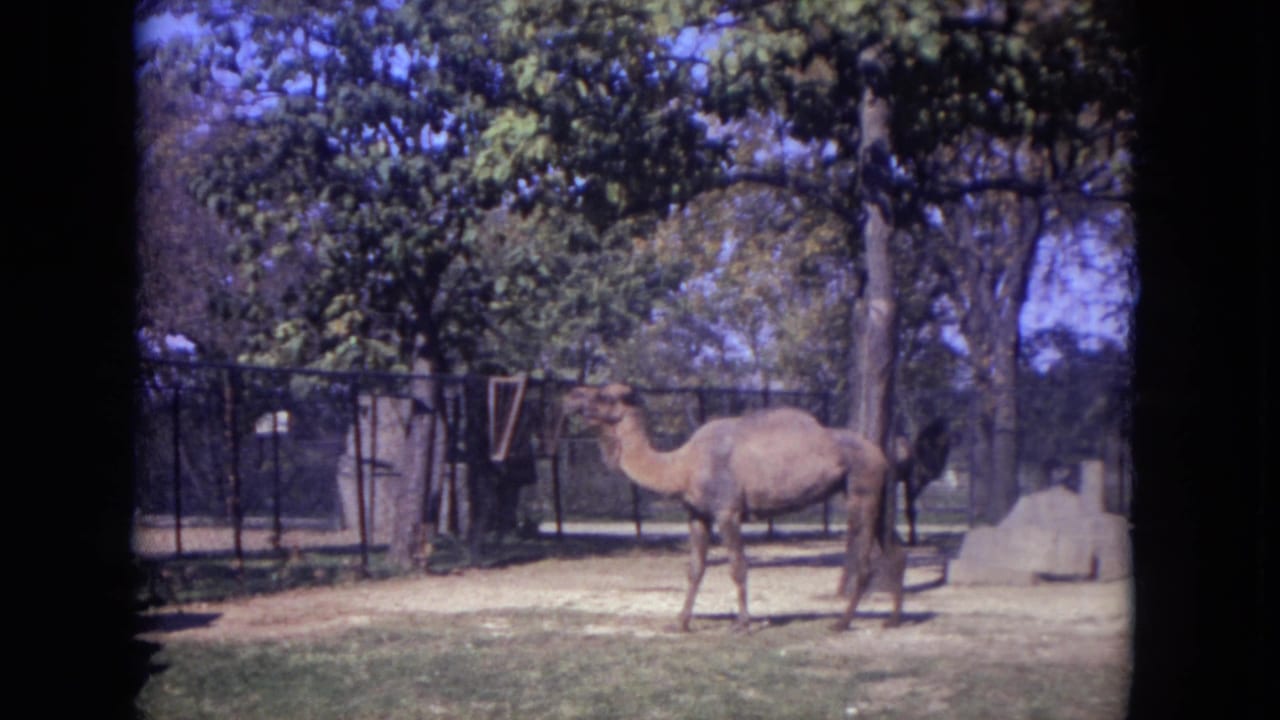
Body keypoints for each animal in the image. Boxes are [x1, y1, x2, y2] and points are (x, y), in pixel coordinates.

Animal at [563, 383, 895, 632]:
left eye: (605, 396)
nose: (572, 395)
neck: (682, 467)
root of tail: (881, 455)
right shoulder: (697, 515)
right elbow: (695, 569)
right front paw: (681, 623)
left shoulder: (727, 511)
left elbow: (738, 567)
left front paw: (743, 624)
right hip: (876, 496)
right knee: (892, 552)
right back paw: (891, 619)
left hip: (862, 489)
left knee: (865, 559)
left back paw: (842, 622)